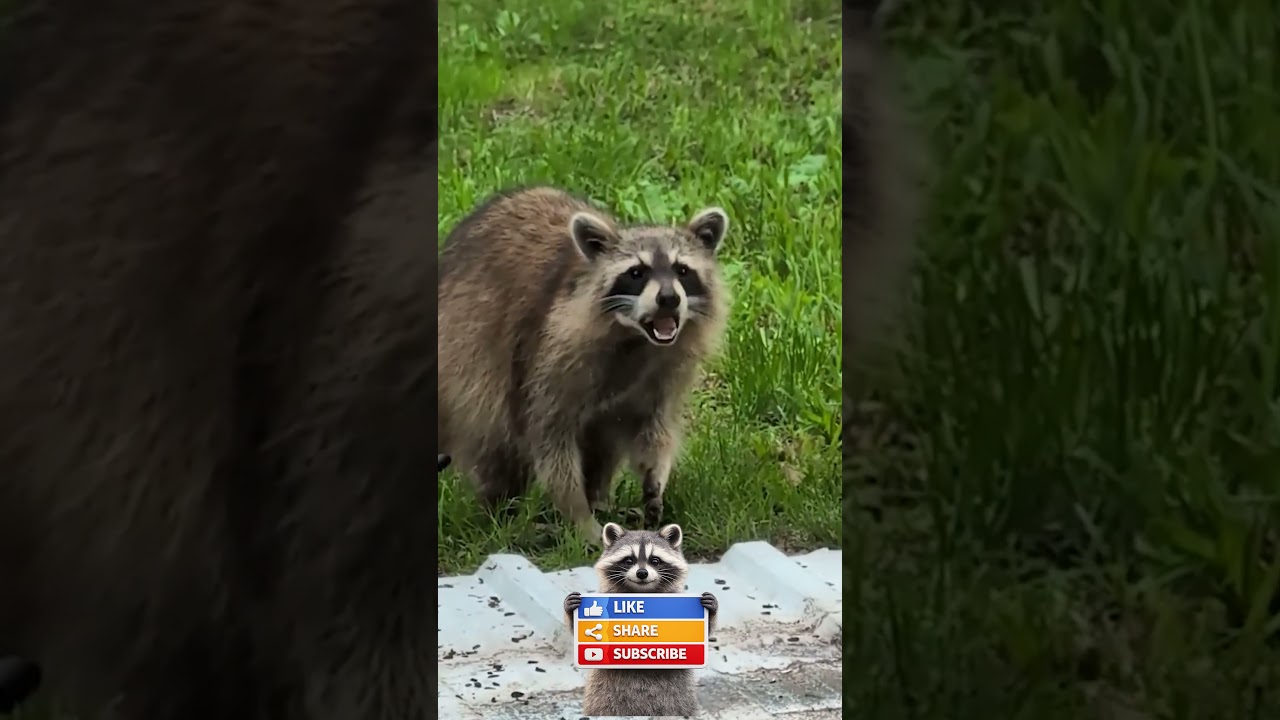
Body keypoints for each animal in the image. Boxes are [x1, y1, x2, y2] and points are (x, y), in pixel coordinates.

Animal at [438, 186, 731, 543]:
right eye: (636, 273)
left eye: (682, 270)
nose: (668, 299)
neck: (635, 339)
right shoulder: (548, 360)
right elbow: (550, 444)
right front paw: (579, 515)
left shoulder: (665, 371)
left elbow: (655, 427)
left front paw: (655, 475)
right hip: (468, 360)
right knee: (494, 441)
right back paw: (501, 512)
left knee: (603, 445)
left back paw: (598, 496)